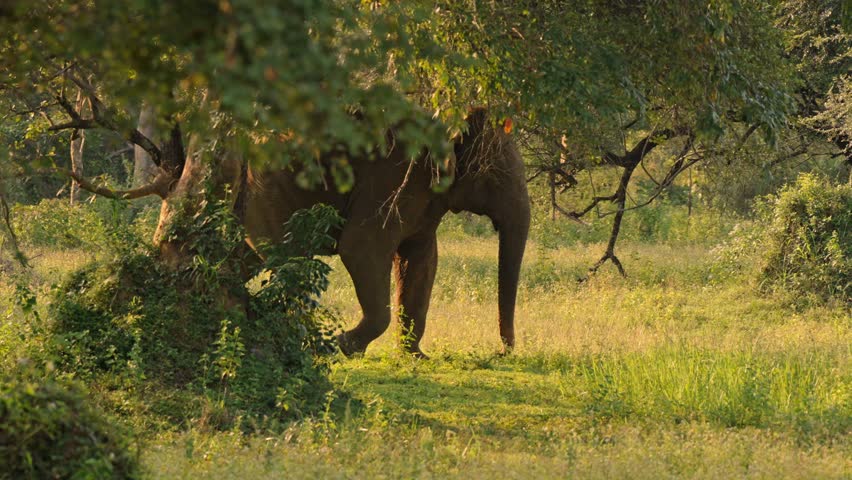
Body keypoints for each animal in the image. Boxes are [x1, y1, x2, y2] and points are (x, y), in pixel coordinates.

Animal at [243, 109, 530, 357]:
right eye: (495, 176)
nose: (500, 352)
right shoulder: (393, 179)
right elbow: (361, 247)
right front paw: (346, 346)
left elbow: (422, 260)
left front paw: (415, 356)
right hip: (269, 193)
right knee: (292, 259)